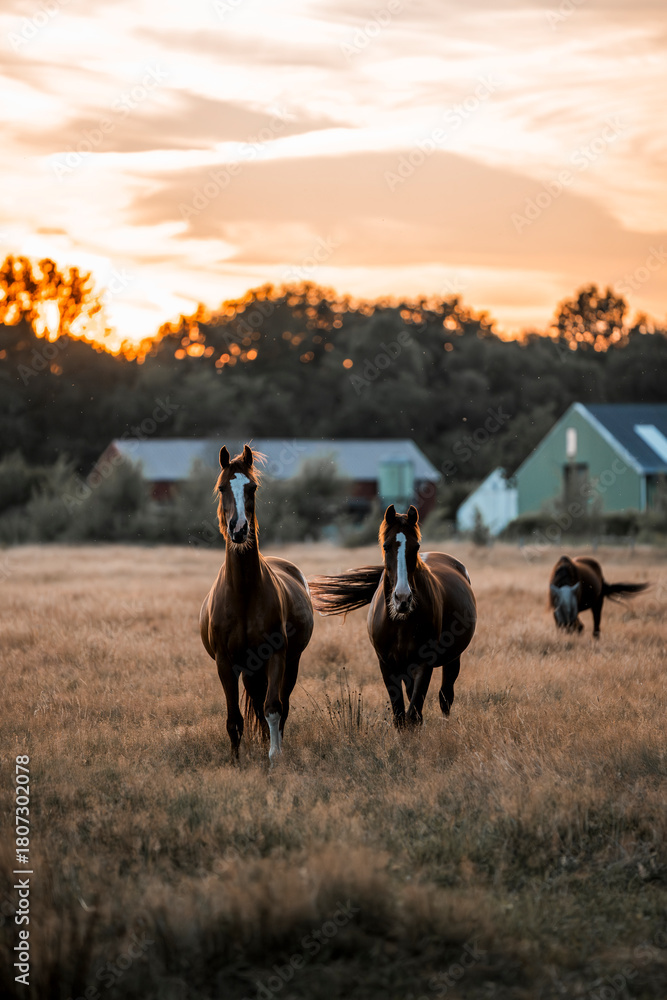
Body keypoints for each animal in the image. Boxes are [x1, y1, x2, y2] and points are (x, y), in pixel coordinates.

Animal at [199, 445, 313, 761]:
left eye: (252, 487)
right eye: (222, 487)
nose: (239, 529)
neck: (244, 593)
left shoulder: (276, 656)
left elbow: (273, 708)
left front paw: (275, 756)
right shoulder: (226, 664)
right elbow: (234, 719)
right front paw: (236, 761)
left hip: (291, 662)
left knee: (280, 706)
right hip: (250, 670)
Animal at [310, 504, 476, 726]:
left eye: (416, 546)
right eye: (386, 546)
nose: (402, 598)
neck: (400, 623)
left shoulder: (424, 664)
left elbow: (413, 714)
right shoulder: (387, 665)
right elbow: (400, 715)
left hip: (452, 659)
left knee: (445, 696)